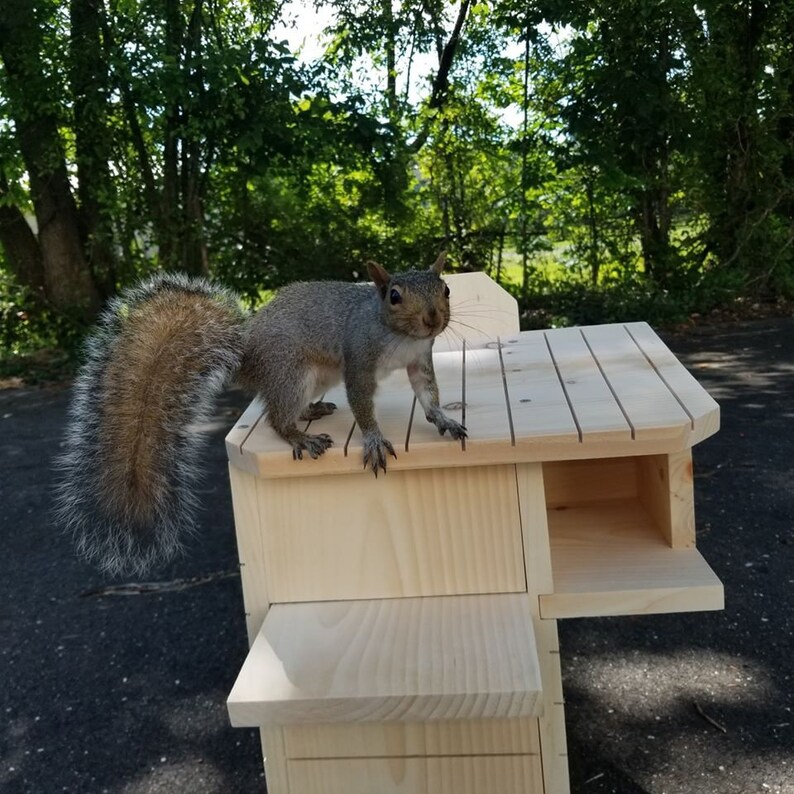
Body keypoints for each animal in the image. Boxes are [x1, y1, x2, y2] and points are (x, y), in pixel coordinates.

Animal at [54, 252, 466, 577]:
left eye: (446, 290)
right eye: (394, 296)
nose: (433, 319)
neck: (400, 337)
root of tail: (246, 356)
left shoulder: (419, 360)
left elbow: (428, 393)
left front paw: (443, 418)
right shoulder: (359, 362)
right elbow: (363, 405)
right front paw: (375, 439)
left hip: (316, 376)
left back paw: (313, 410)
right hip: (292, 372)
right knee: (276, 417)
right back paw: (300, 435)